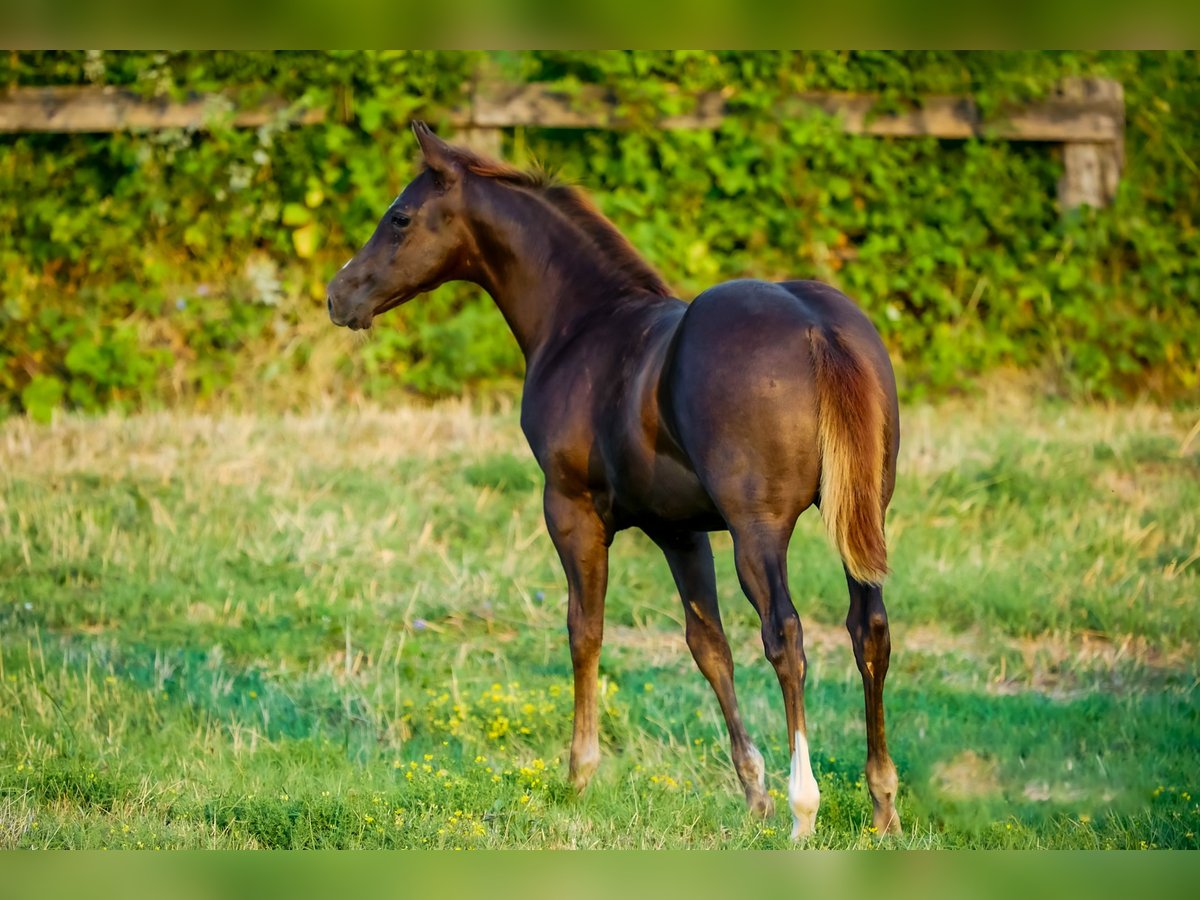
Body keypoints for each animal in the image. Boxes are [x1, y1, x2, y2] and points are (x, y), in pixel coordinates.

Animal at [328, 123, 902, 844]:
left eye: (400, 217)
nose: (340, 294)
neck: (583, 325)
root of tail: (816, 326)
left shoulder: (571, 510)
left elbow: (585, 629)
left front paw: (578, 776)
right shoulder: (679, 530)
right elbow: (707, 645)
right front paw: (752, 793)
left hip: (759, 529)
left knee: (786, 636)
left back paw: (806, 811)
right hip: (861, 517)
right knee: (869, 628)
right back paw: (883, 806)